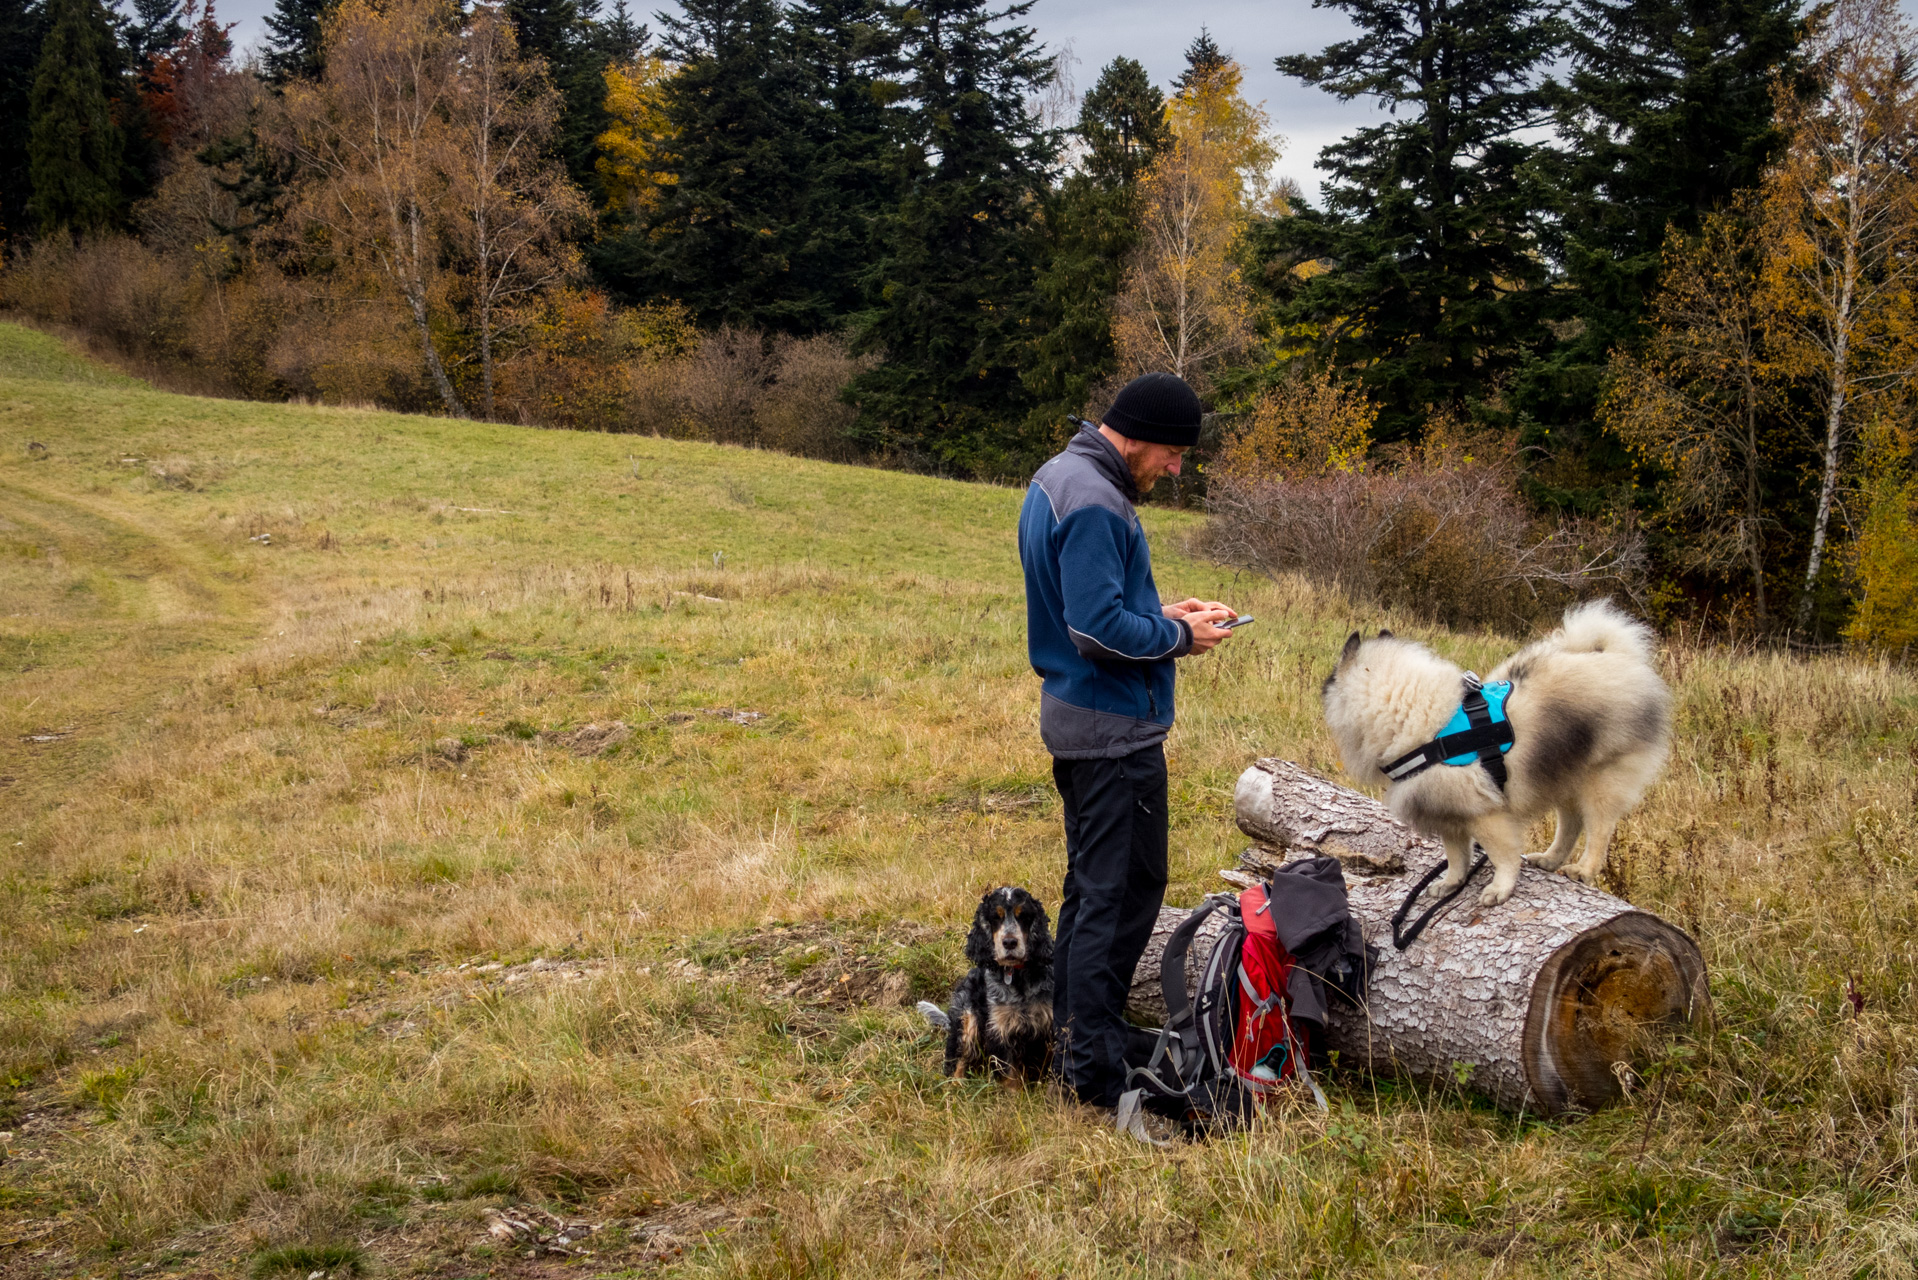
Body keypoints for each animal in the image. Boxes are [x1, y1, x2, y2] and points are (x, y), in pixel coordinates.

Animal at [1327, 602, 1672, 909]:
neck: (1418, 719)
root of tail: (1614, 655)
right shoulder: (1450, 811)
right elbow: (1456, 855)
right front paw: (1451, 882)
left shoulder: (1485, 813)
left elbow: (1502, 856)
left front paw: (1500, 889)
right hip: (1565, 774)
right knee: (1570, 824)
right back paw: (1550, 859)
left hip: (1600, 779)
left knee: (1598, 830)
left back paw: (1582, 870)